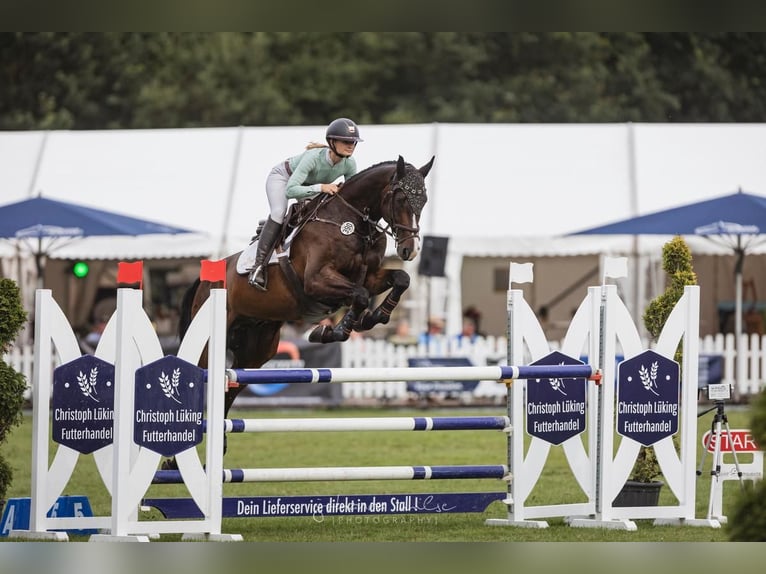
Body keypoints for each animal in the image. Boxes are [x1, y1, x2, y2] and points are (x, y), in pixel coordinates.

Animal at [176, 154, 436, 418]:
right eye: (401, 198)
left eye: (424, 201)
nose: (411, 249)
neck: (352, 222)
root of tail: (205, 280)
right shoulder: (316, 281)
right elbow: (361, 296)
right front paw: (336, 330)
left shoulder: (370, 277)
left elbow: (400, 280)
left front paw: (374, 317)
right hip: (211, 340)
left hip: (257, 347)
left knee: (231, 387)